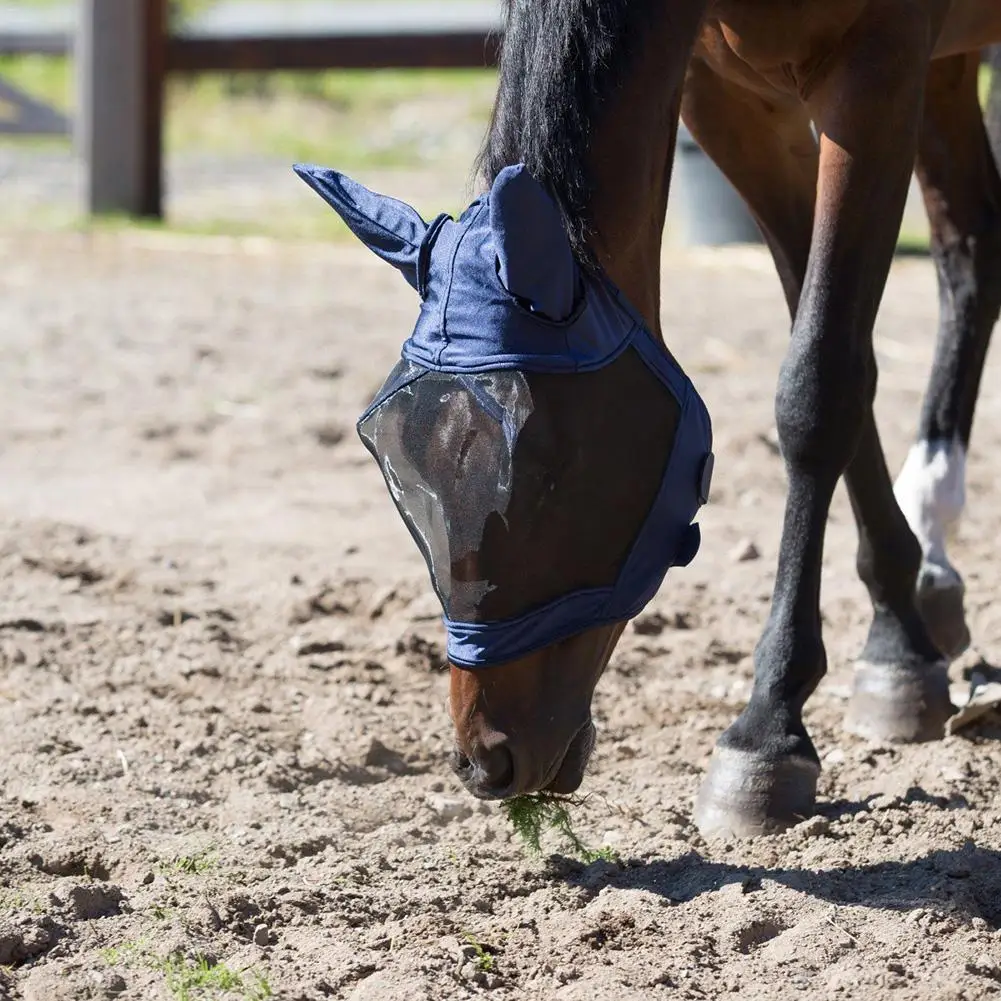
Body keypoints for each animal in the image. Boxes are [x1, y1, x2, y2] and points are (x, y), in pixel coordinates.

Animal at [302, 1, 1001, 836]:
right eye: (392, 461)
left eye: (545, 473)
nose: (486, 759)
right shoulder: (731, 100)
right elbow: (828, 342)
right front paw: (897, 643)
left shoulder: (877, 69)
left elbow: (820, 380)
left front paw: (767, 728)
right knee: (971, 250)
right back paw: (931, 561)